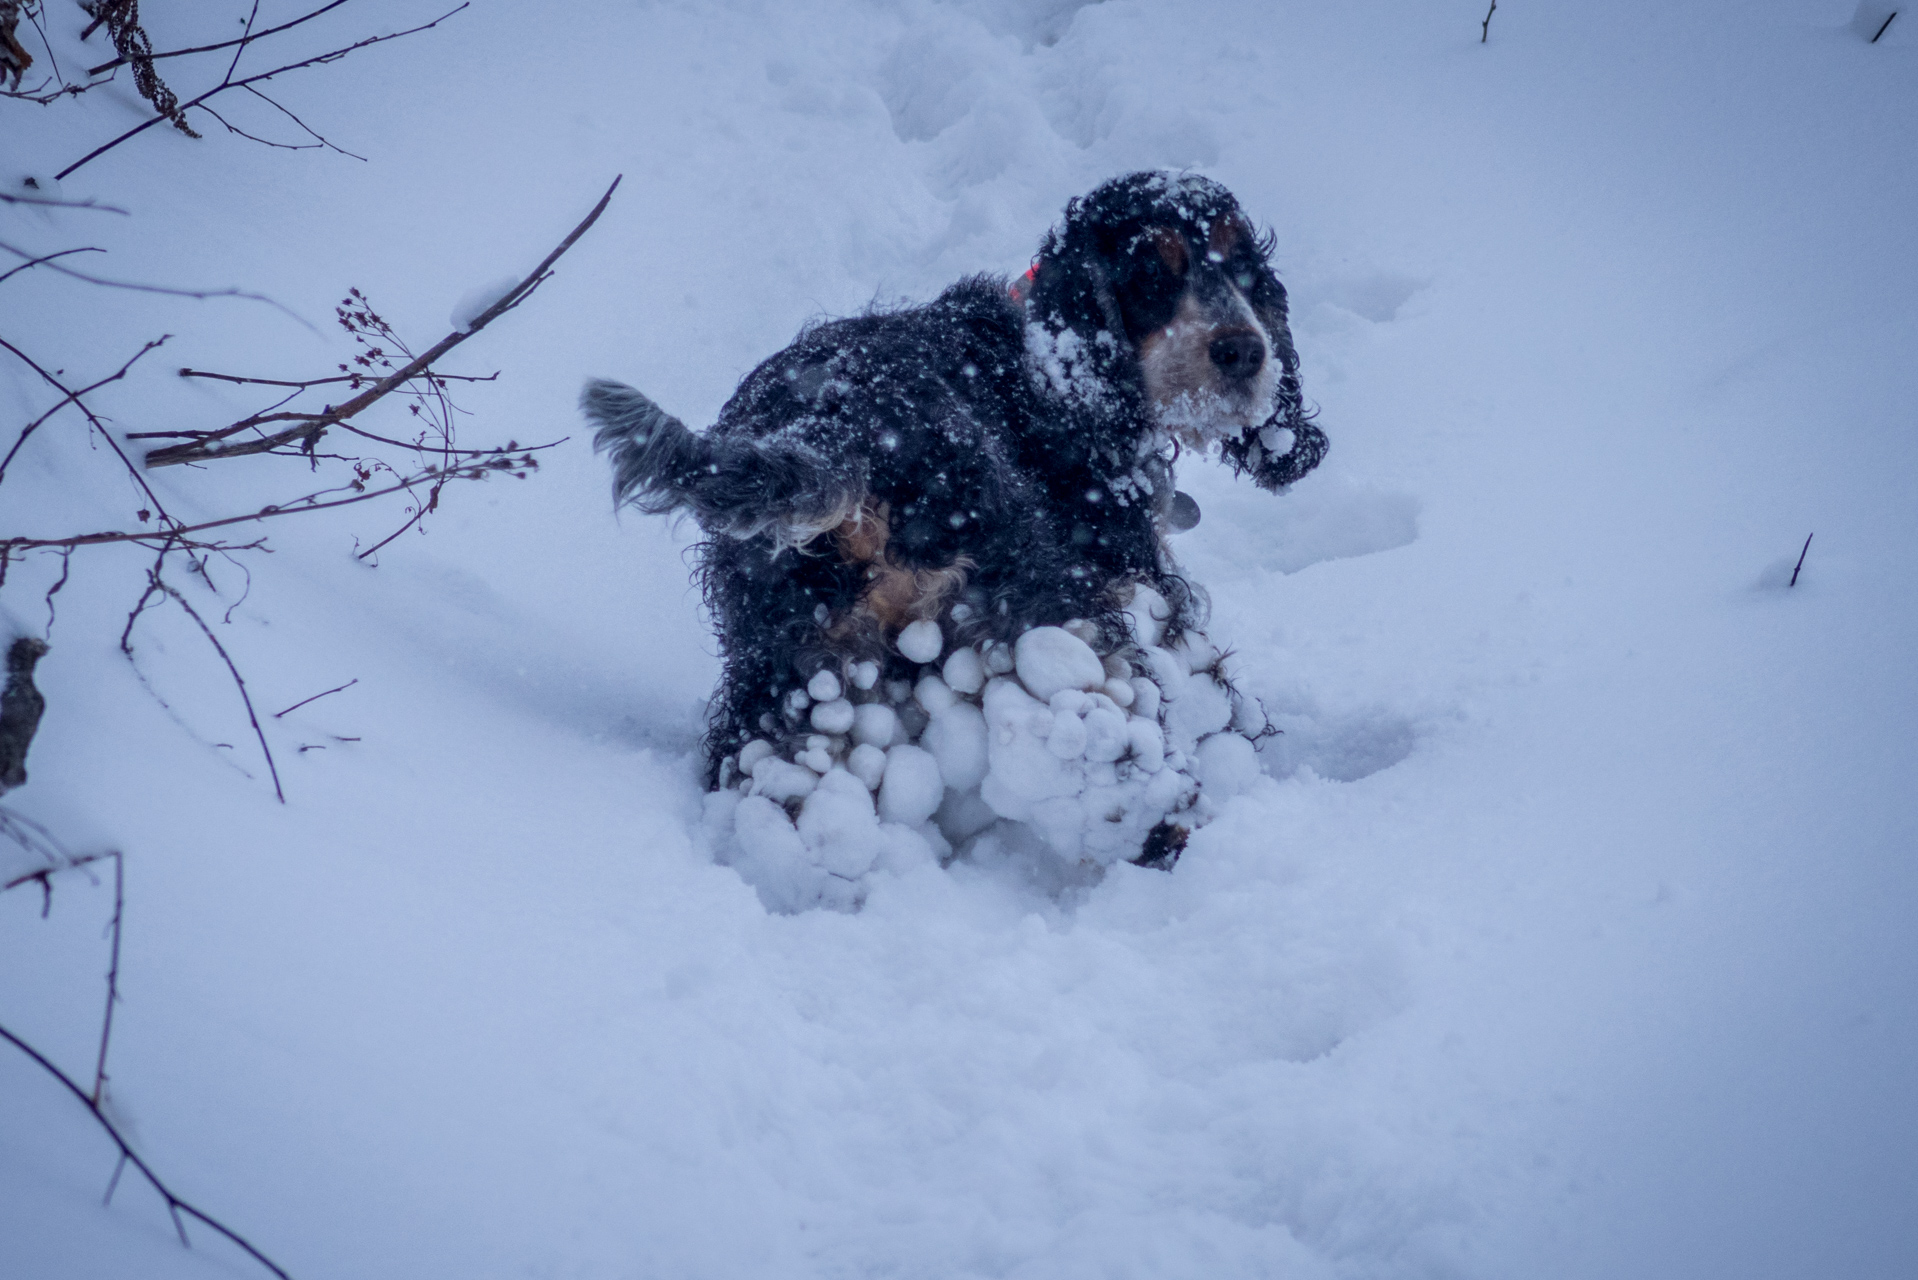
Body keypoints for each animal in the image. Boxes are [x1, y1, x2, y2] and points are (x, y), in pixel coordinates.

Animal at [583, 169, 1327, 867]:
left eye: (1244, 269)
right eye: (1150, 273)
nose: (1244, 352)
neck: (1048, 365)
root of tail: (834, 425)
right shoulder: (1132, 573)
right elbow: (1210, 682)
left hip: (792, 657)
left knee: (777, 762)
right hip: (1035, 599)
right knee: (1100, 719)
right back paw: (1162, 827)